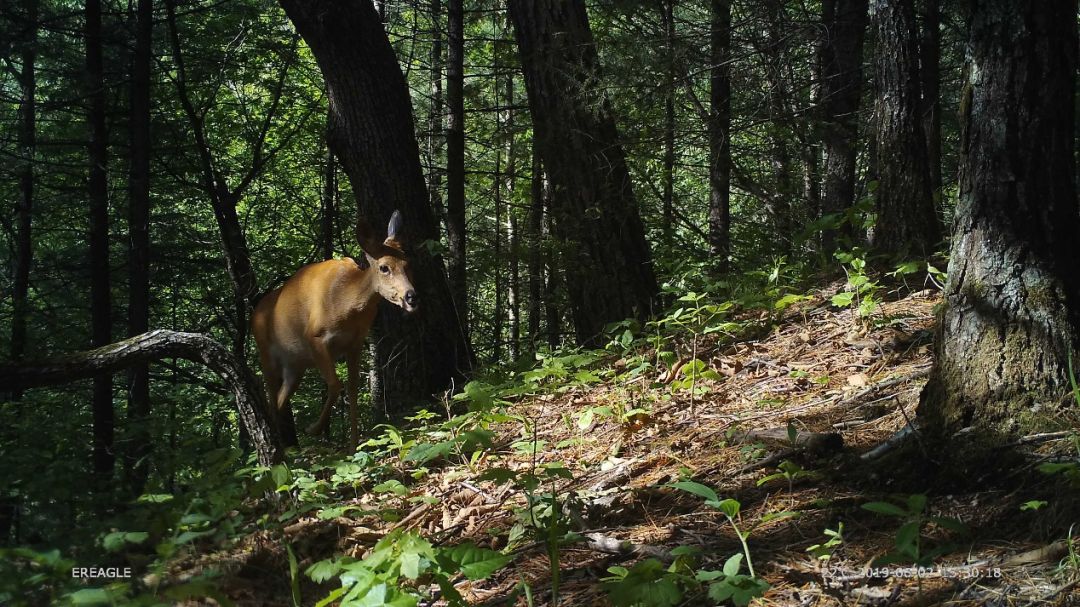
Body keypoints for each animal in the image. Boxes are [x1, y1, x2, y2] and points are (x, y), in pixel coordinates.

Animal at [252, 210, 416, 447]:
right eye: (384, 267)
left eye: (408, 263)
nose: (411, 297)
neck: (346, 303)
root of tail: (254, 314)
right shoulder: (316, 338)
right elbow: (335, 384)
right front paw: (314, 429)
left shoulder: (355, 343)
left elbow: (353, 388)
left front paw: (354, 445)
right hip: (267, 356)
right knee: (271, 400)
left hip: (295, 366)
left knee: (280, 401)